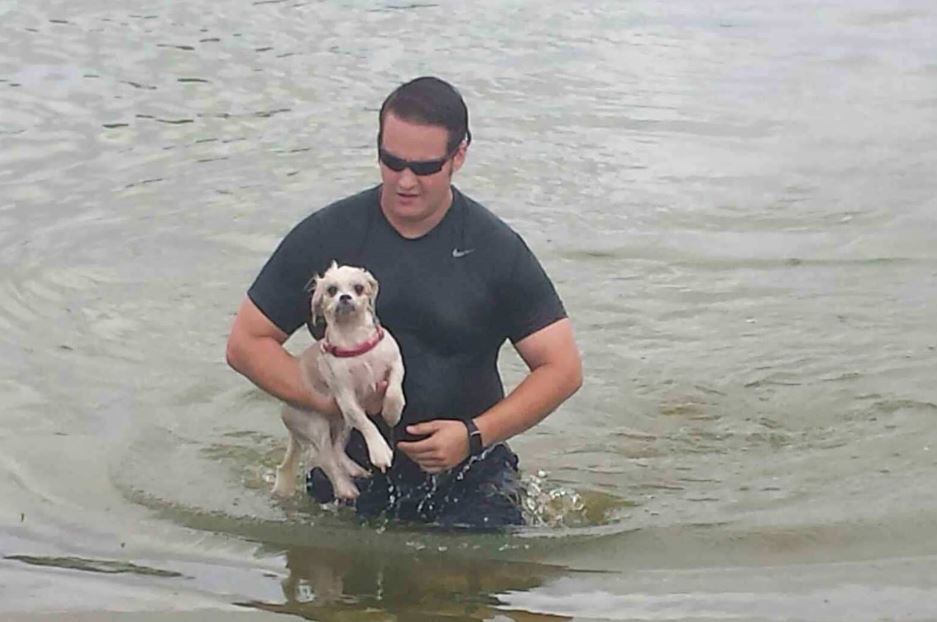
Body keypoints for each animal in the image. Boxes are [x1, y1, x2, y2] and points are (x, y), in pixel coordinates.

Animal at [268, 264, 404, 502]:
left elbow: (394, 390)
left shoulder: (395, 362)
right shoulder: (346, 398)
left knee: (337, 450)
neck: (354, 339)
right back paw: (345, 487)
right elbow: (366, 423)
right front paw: (380, 451)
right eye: (331, 290)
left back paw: (354, 469)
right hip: (316, 423)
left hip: (341, 423)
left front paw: (392, 412)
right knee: (326, 457)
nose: (345, 297)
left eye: (359, 288)